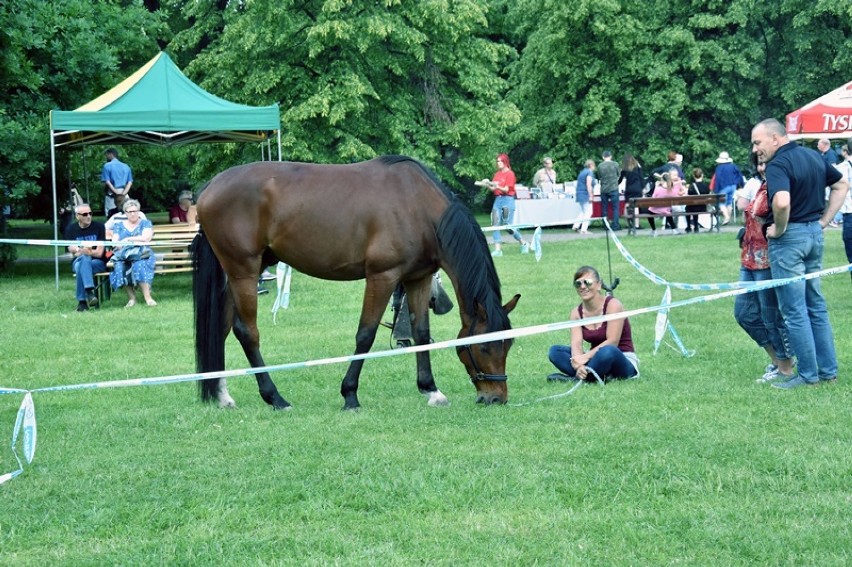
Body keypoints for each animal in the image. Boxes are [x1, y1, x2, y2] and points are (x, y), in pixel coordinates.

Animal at [193, 156, 520, 412]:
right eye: (485, 348)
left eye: (509, 344)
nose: (496, 397)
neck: (417, 206)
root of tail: (209, 188)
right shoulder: (382, 276)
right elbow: (365, 334)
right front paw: (349, 394)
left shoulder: (418, 278)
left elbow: (421, 333)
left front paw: (431, 390)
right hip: (243, 272)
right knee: (247, 333)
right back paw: (275, 398)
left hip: (238, 275)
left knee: (223, 329)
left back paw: (223, 396)